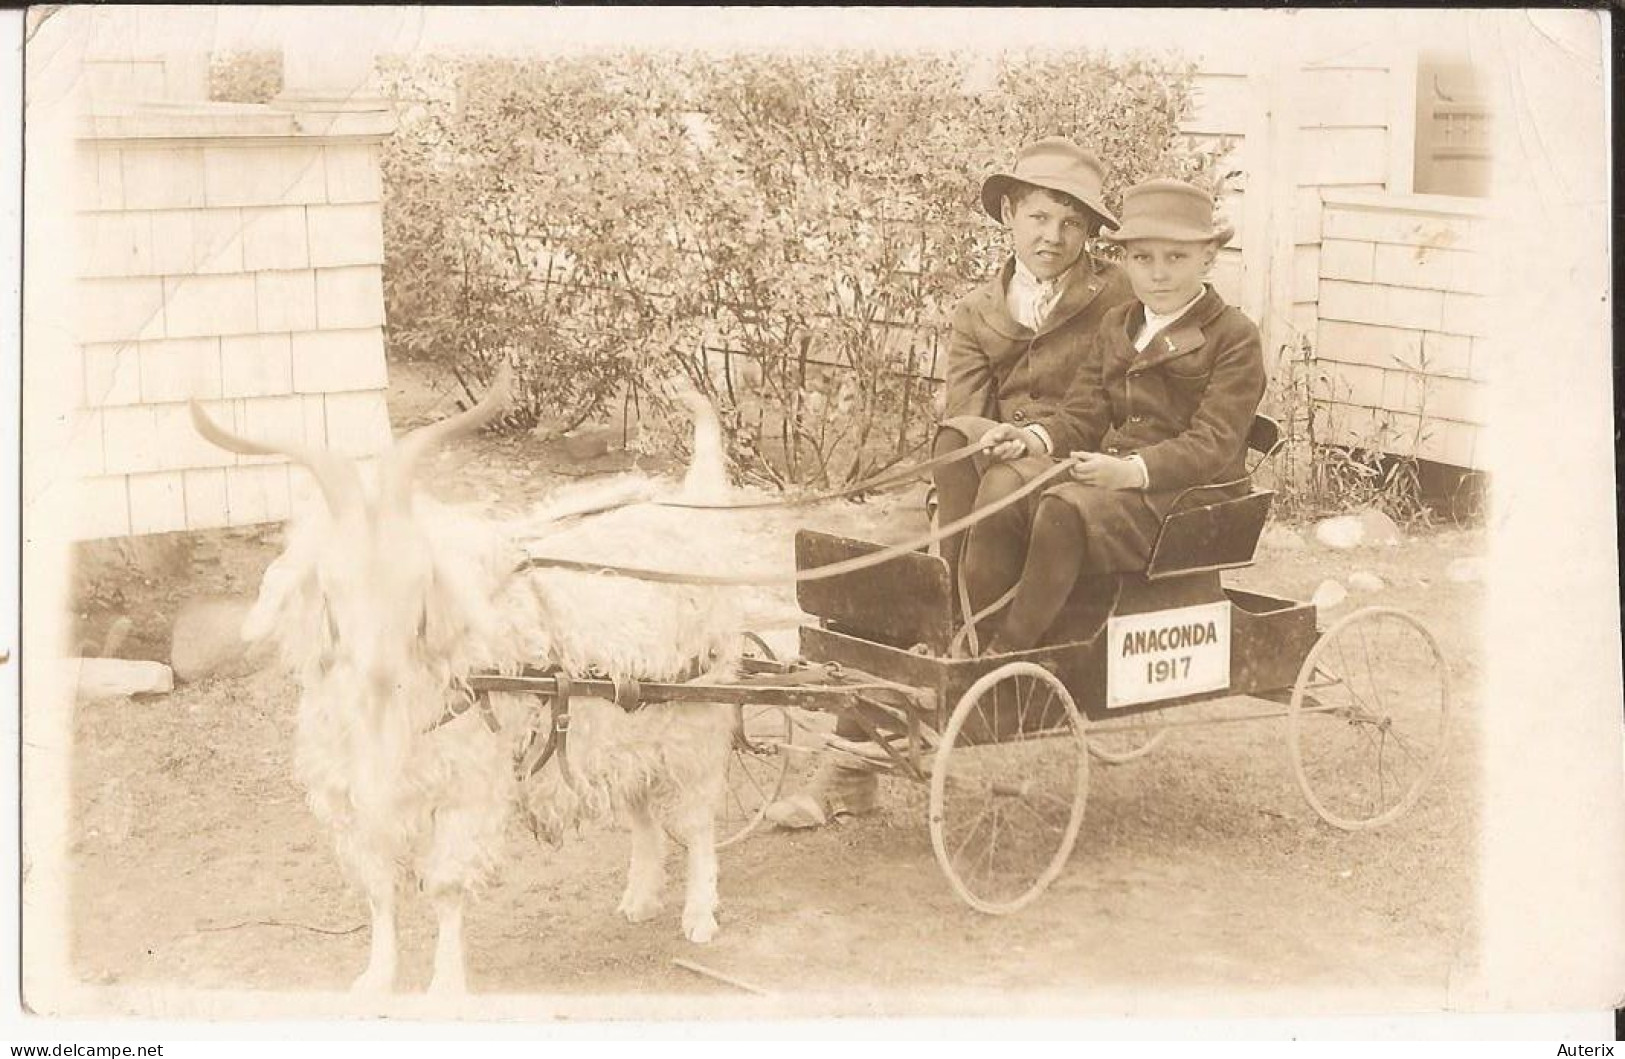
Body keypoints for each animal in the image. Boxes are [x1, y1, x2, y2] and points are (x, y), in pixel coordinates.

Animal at [190, 376, 744, 994]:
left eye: (419, 583)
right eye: (332, 585)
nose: (380, 671)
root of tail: (696, 503)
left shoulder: (465, 789)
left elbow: (447, 887)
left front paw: (446, 987)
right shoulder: (360, 798)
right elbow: (379, 889)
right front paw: (377, 977)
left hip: (698, 719)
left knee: (697, 819)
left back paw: (699, 915)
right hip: (627, 726)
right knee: (642, 807)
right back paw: (641, 897)